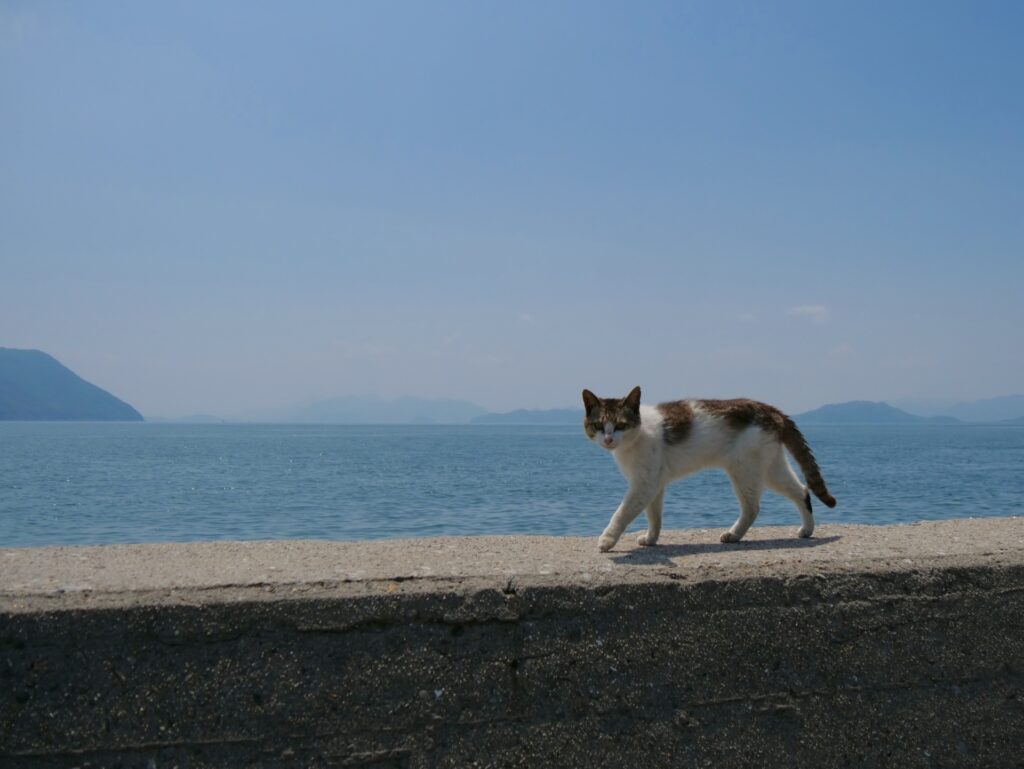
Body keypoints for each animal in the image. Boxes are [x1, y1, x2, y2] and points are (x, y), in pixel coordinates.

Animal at [581, 387, 835, 548]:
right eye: (599, 426)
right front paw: (651, 539)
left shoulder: (643, 485)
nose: (608, 439)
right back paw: (807, 530)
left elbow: (621, 513)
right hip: (771, 468)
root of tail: (771, 409)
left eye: (621, 425)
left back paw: (734, 534)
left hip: (744, 470)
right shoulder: (653, 483)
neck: (635, 438)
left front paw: (607, 540)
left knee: (752, 507)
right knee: (802, 491)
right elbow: (654, 516)